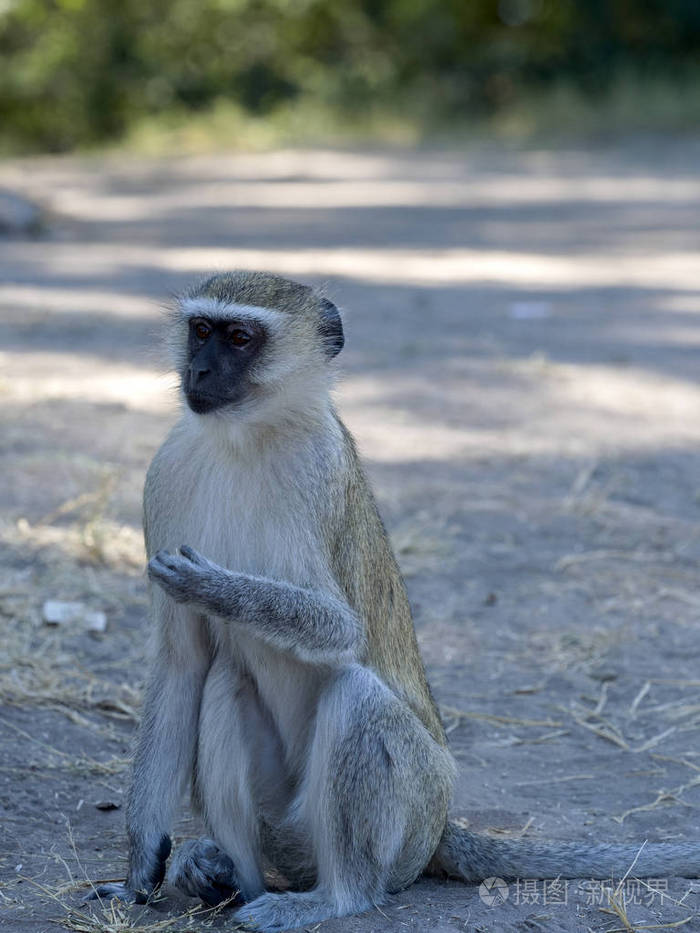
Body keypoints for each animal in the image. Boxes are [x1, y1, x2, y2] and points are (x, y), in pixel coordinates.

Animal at [90, 274, 700, 928]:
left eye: (239, 338)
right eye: (201, 330)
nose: (198, 371)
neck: (246, 439)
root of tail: (439, 828)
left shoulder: (319, 471)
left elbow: (342, 631)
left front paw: (214, 589)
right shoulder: (164, 475)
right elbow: (181, 666)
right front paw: (139, 871)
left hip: (410, 817)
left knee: (356, 696)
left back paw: (334, 897)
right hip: (287, 828)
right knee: (224, 682)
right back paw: (230, 879)